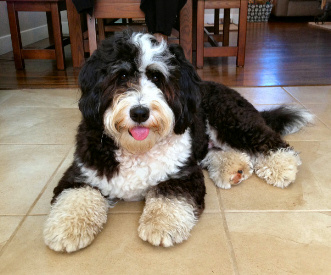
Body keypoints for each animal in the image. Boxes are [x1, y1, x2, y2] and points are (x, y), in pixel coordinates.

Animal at [43, 31, 314, 253]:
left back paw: (282, 164)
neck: (137, 150)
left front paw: (160, 226)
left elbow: (169, 196)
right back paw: (233, 168)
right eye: (121, 76)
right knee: (221, 152)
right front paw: (67, 229)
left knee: (266, 139)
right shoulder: (81, 173)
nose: (139, 112)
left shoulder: (183, 174)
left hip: (231, 118)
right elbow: (75, 197)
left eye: (156, 77)